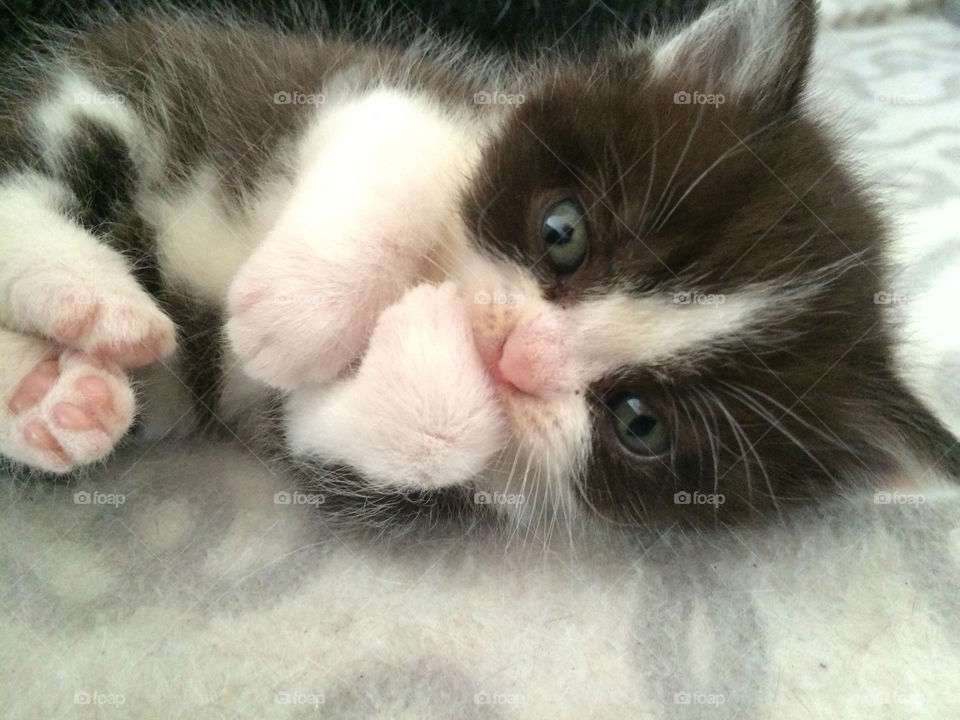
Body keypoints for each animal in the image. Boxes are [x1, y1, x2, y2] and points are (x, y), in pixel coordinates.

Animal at [0, 0, 956, 528]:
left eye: (641, 422)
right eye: (561, 232)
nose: (514, 355)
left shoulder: (337, 461)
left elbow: (377, 437)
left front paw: (423, 348)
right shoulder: (392, 91)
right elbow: (399, 143)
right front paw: (292, 316)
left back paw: (55, 399)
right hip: (108, 93)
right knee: (28, 185)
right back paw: (96, 302)